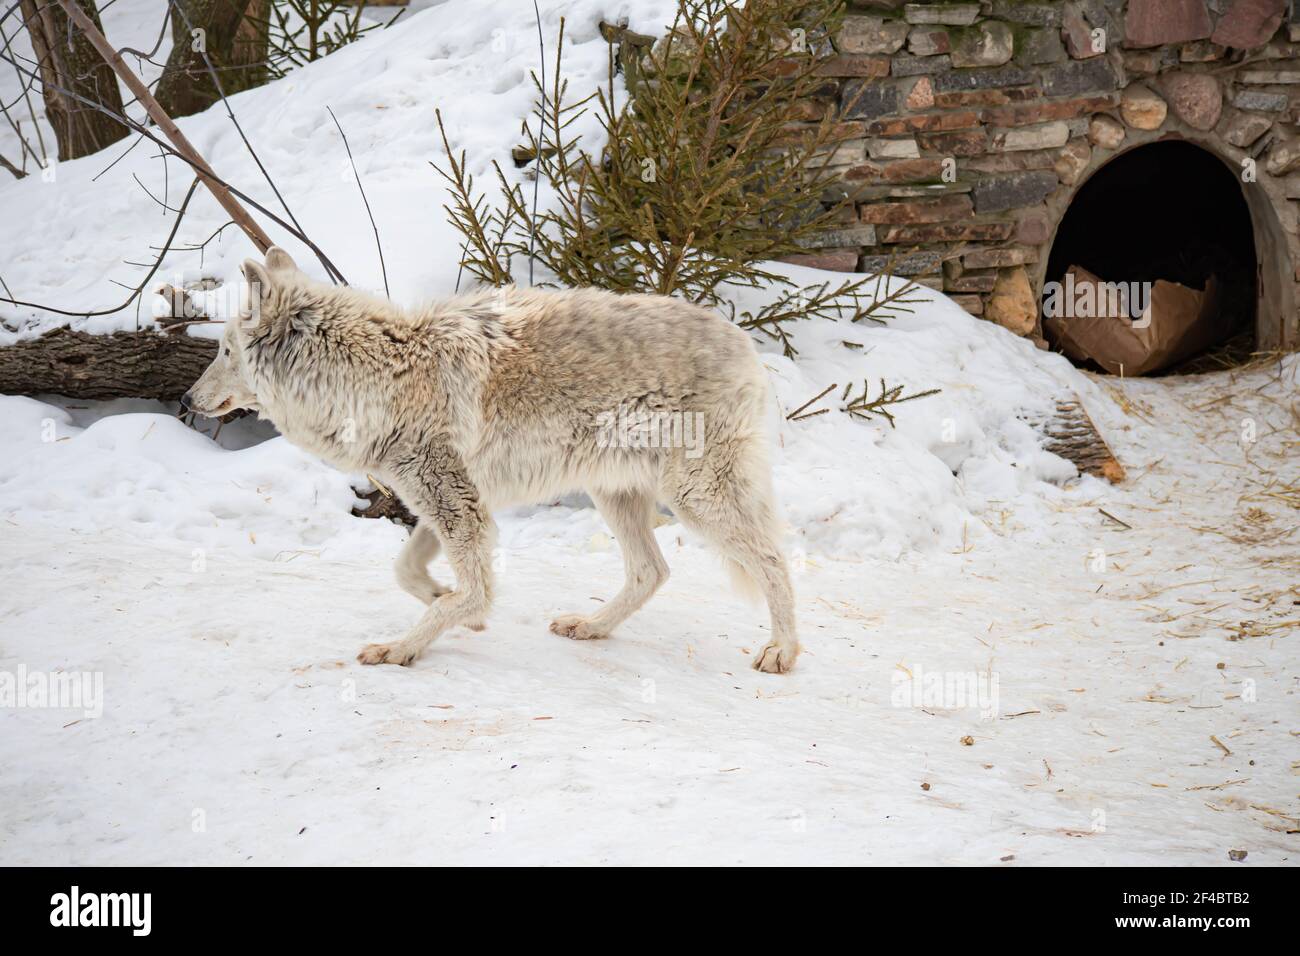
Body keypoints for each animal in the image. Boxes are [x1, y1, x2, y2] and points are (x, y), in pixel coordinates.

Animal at [187, 252, 795, 671]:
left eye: (223, 350)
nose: (188, 400)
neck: (376, 379)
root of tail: (746, 344)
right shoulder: (450, 503)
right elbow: (408, 570)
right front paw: (450, 604)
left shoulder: (457, 505)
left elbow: (472, 589)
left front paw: (404, 646)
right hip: (615, 494)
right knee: (653, 571)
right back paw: (592, 627)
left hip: (697, 498)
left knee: (773, 560)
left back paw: (782, 652)